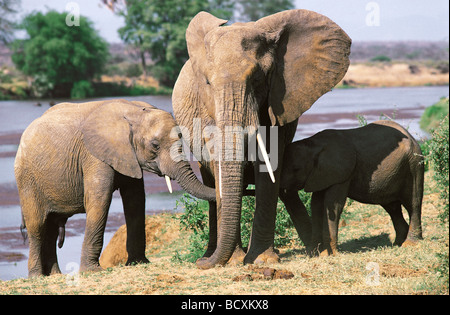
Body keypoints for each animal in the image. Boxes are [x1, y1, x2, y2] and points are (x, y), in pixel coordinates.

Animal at [14, 100, 215, 278]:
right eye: (155, 145)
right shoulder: (94, 154)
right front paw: (92, 272)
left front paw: (138, 263)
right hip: (27, 179)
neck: (134, 113)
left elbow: (135, 200)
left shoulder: (128, 155)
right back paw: (36, 277)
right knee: (37, 226)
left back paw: (55, 275)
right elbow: (99, 199)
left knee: (51, 228)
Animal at [172, 9, 352, 270]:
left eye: (257, 79)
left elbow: (269, 165)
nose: (199, 264)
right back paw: (211, 253)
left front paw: (262, 259)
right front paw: (235, 261)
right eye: (207, 83)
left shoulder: (278, 103)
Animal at [280, 121, 424, 256]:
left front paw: (330, 255)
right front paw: (314, 254)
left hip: (413, 164)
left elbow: (333, 205)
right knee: (392, 208)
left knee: (413, 203)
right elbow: (316, 205)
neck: (313, 144)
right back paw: (397, 244)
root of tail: (412, 138)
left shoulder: (341, 173)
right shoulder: (320, 175)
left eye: (296, 169)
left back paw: (410, 244)